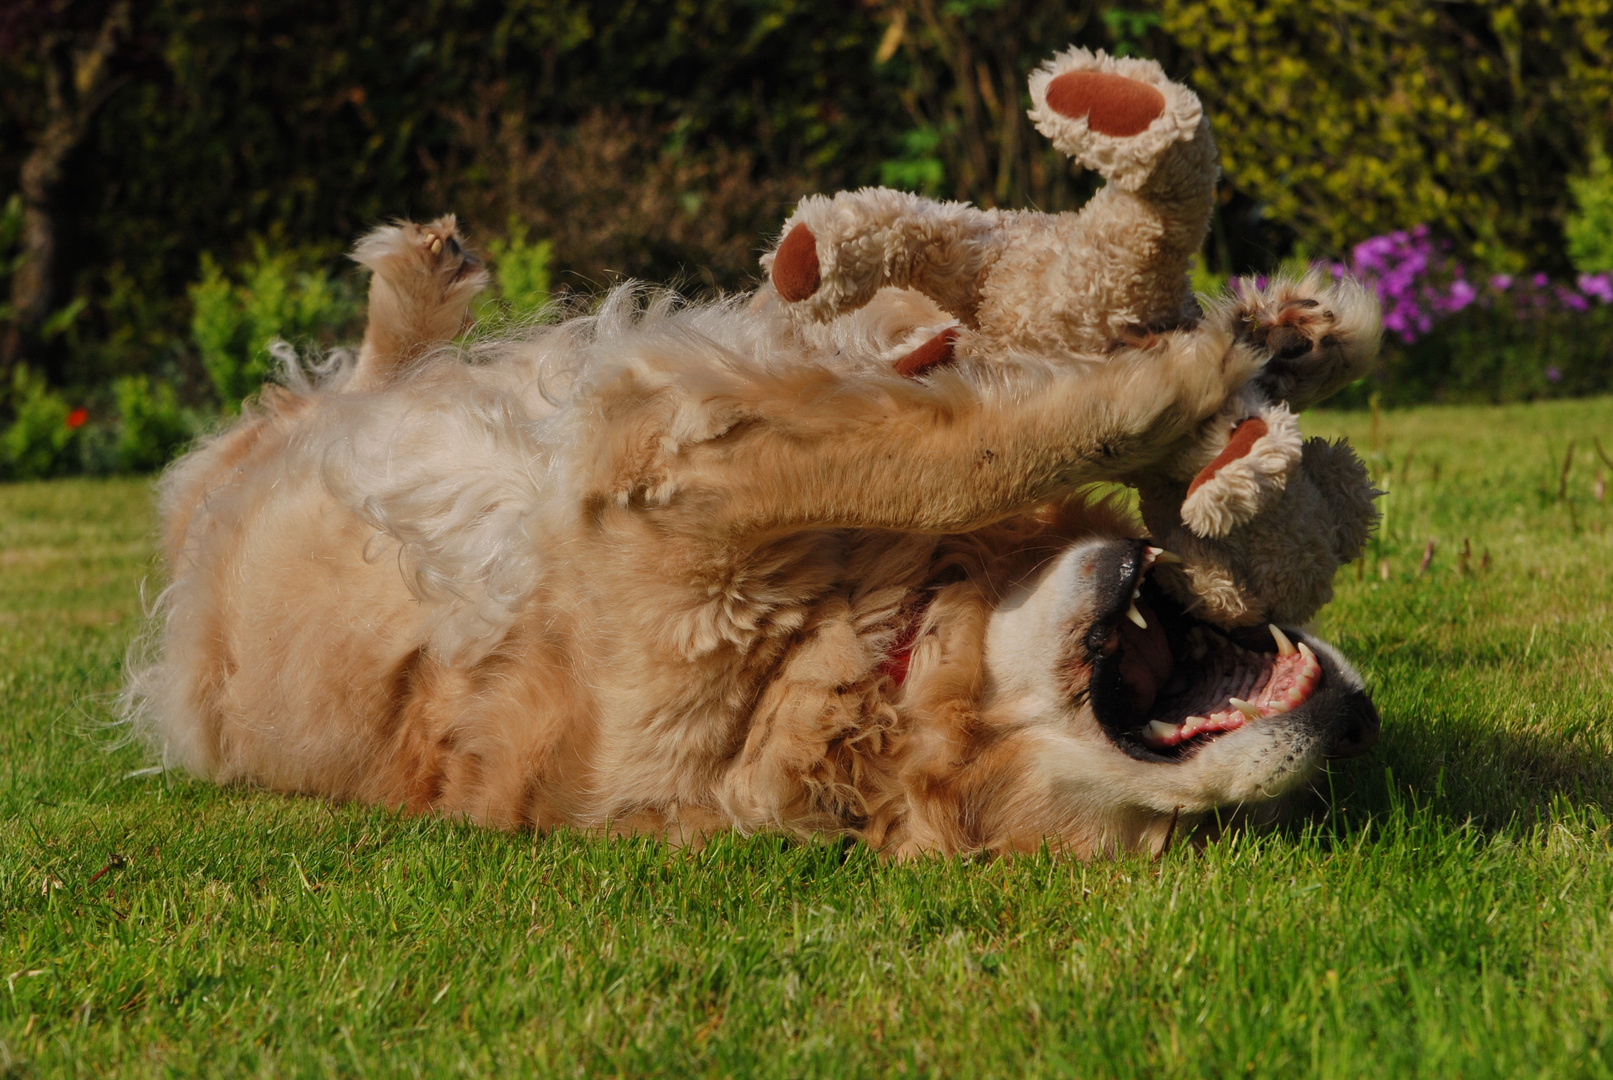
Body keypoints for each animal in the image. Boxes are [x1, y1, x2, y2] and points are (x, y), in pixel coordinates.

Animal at [125, 217, 1380, 864]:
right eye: (1178, 843)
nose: (1355, 731)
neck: (864, 664)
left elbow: (921, 400)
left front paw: (1291, 332)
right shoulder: (665, 484)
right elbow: (947, 456)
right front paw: (1187, 376)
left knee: (355, 385)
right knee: (341, 390)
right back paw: (413, 281)